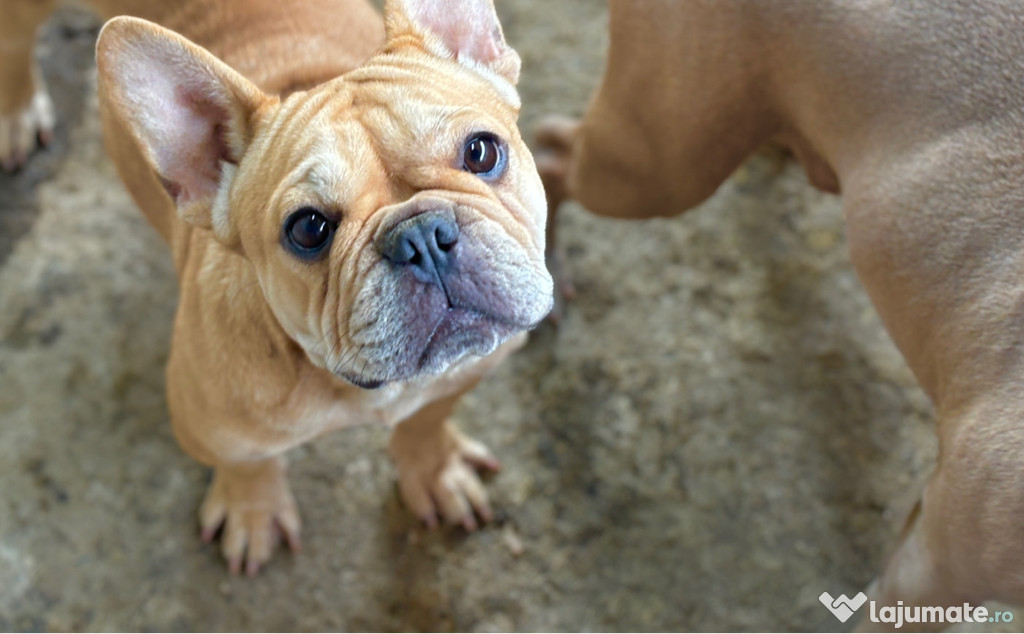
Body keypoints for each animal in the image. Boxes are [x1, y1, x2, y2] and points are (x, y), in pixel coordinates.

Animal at [6, 0, 552, 573]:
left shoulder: (469, 370)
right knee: (13, 44)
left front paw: (433, 468)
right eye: (308, 229)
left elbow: (427, 418)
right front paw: (253, 510)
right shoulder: (211, 430)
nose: (421, 236)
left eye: (481, 152)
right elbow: (247, 464)